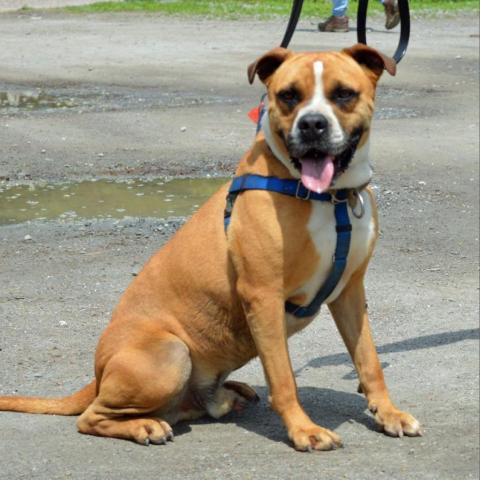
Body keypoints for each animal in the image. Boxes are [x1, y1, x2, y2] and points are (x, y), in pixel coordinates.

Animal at [0, 44, 420, 450]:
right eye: (288, 96)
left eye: (343, 94)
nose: (312, 124)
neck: (330, 199)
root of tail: (99, 372)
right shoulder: (263, 296)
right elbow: (284, 378)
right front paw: (304, 430)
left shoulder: (350, 292)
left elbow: (369, 361)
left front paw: (388, 414)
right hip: (170, 354)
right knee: (92, 417)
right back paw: (144, 426)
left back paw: (225, 395)